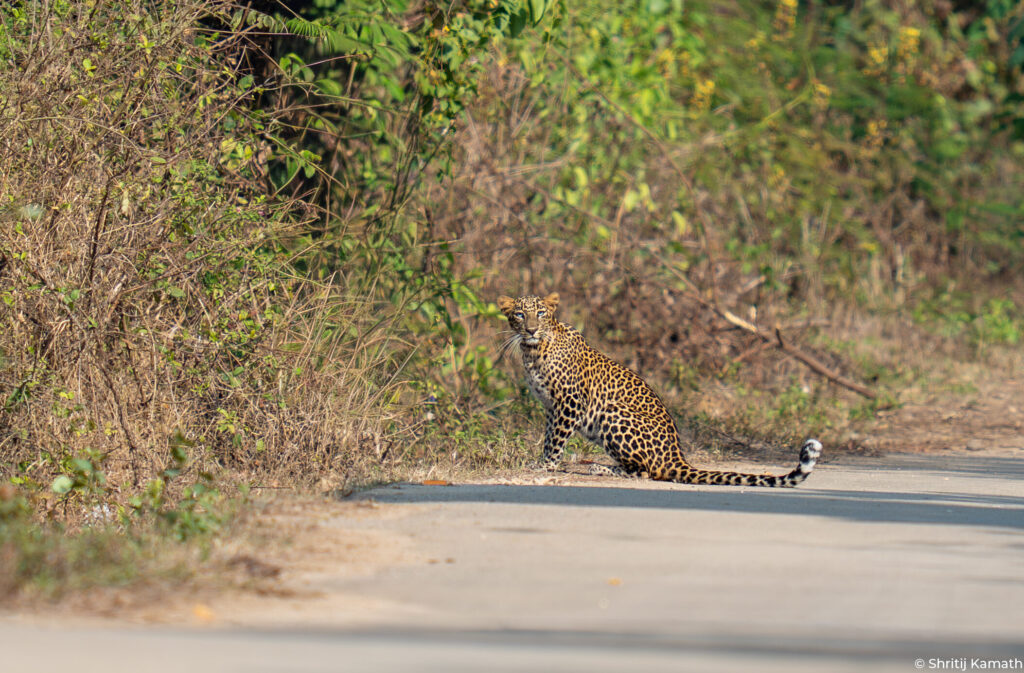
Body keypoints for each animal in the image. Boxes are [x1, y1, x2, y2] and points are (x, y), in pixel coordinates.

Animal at [498, 292, 822, 487]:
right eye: (519, 315)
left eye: (541, 312)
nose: (531, 330)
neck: (533, 350)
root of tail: (676, 456)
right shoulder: (552, 407)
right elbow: (548, 436)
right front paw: (542, 462)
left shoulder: (570, 402)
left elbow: (555, 440)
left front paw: (545, 466)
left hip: (613, 414)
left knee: (645, 470)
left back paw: (600, 469)